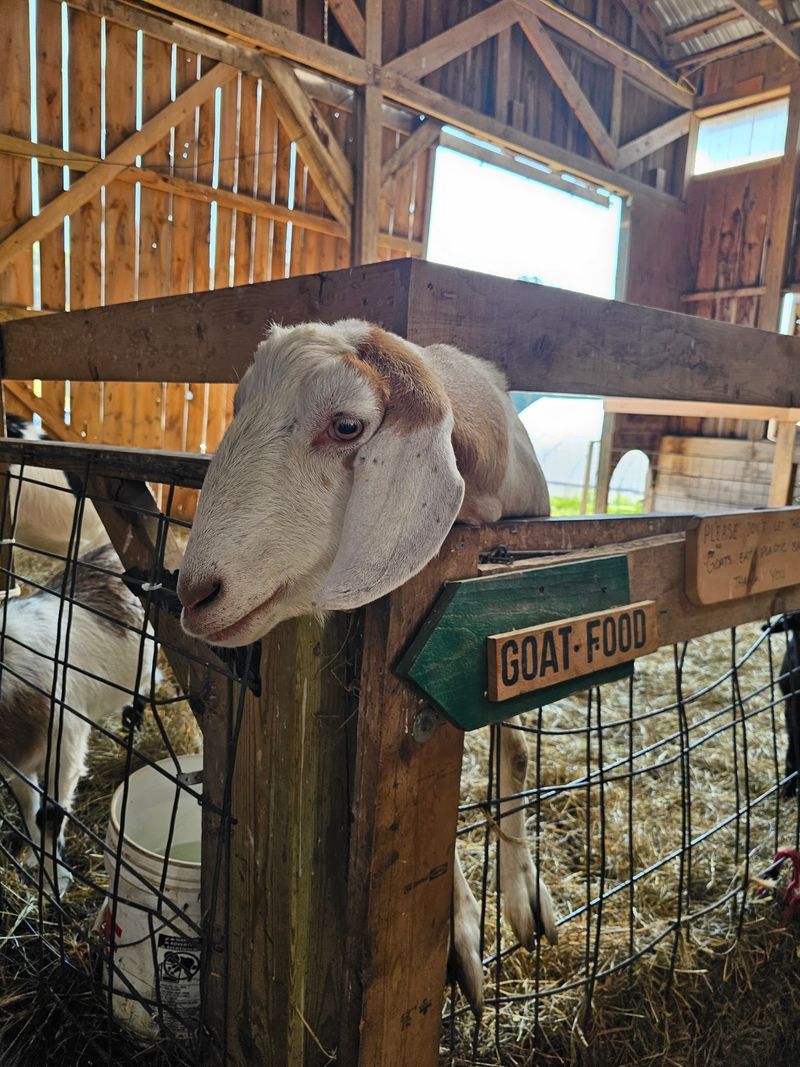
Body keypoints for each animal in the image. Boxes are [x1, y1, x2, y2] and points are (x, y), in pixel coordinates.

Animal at [0, 543, 151, 889]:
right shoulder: (18, 764)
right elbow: (29, 809)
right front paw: (36, 865)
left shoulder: (64, 750)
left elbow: (49, 816)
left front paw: (56, 882)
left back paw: (132, 719)